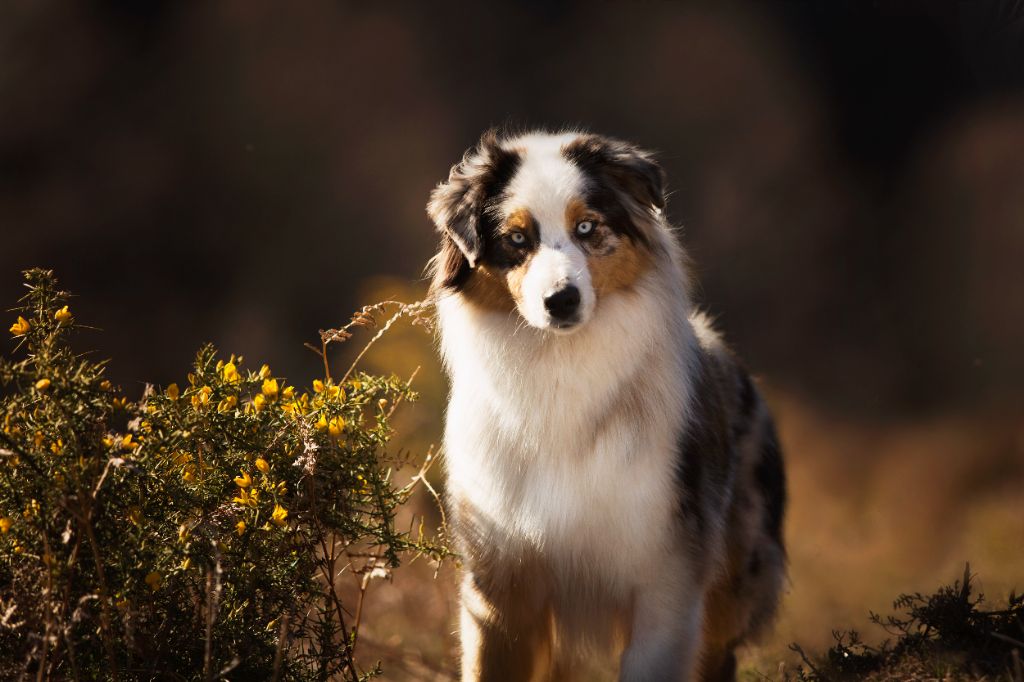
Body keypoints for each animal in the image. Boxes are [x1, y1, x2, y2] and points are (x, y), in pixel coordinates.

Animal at [423, 129, 782, 679]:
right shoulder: (501, 589)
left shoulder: (666, 583)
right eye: (517, 239)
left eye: (587, 226)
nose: (561, 300)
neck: (561, 374)